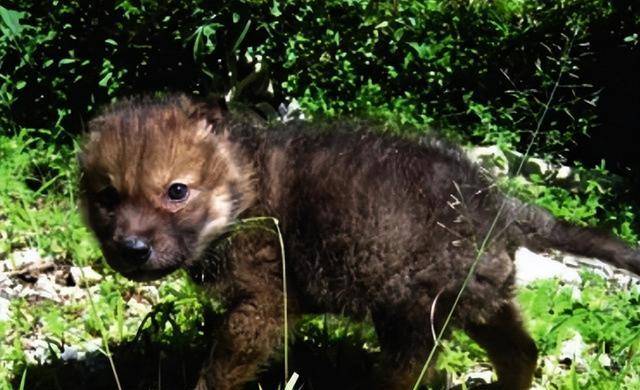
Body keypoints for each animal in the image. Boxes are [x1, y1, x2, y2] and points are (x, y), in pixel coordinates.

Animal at [80, 95, 640, 390]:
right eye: (108, 197)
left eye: (177, 191)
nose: (132, 249)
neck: (242, 189)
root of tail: (500, 205)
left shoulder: (263, 305)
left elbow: (219, 371)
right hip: (481, 298)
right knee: (522, 352)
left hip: (413, 314)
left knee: (412, 374)